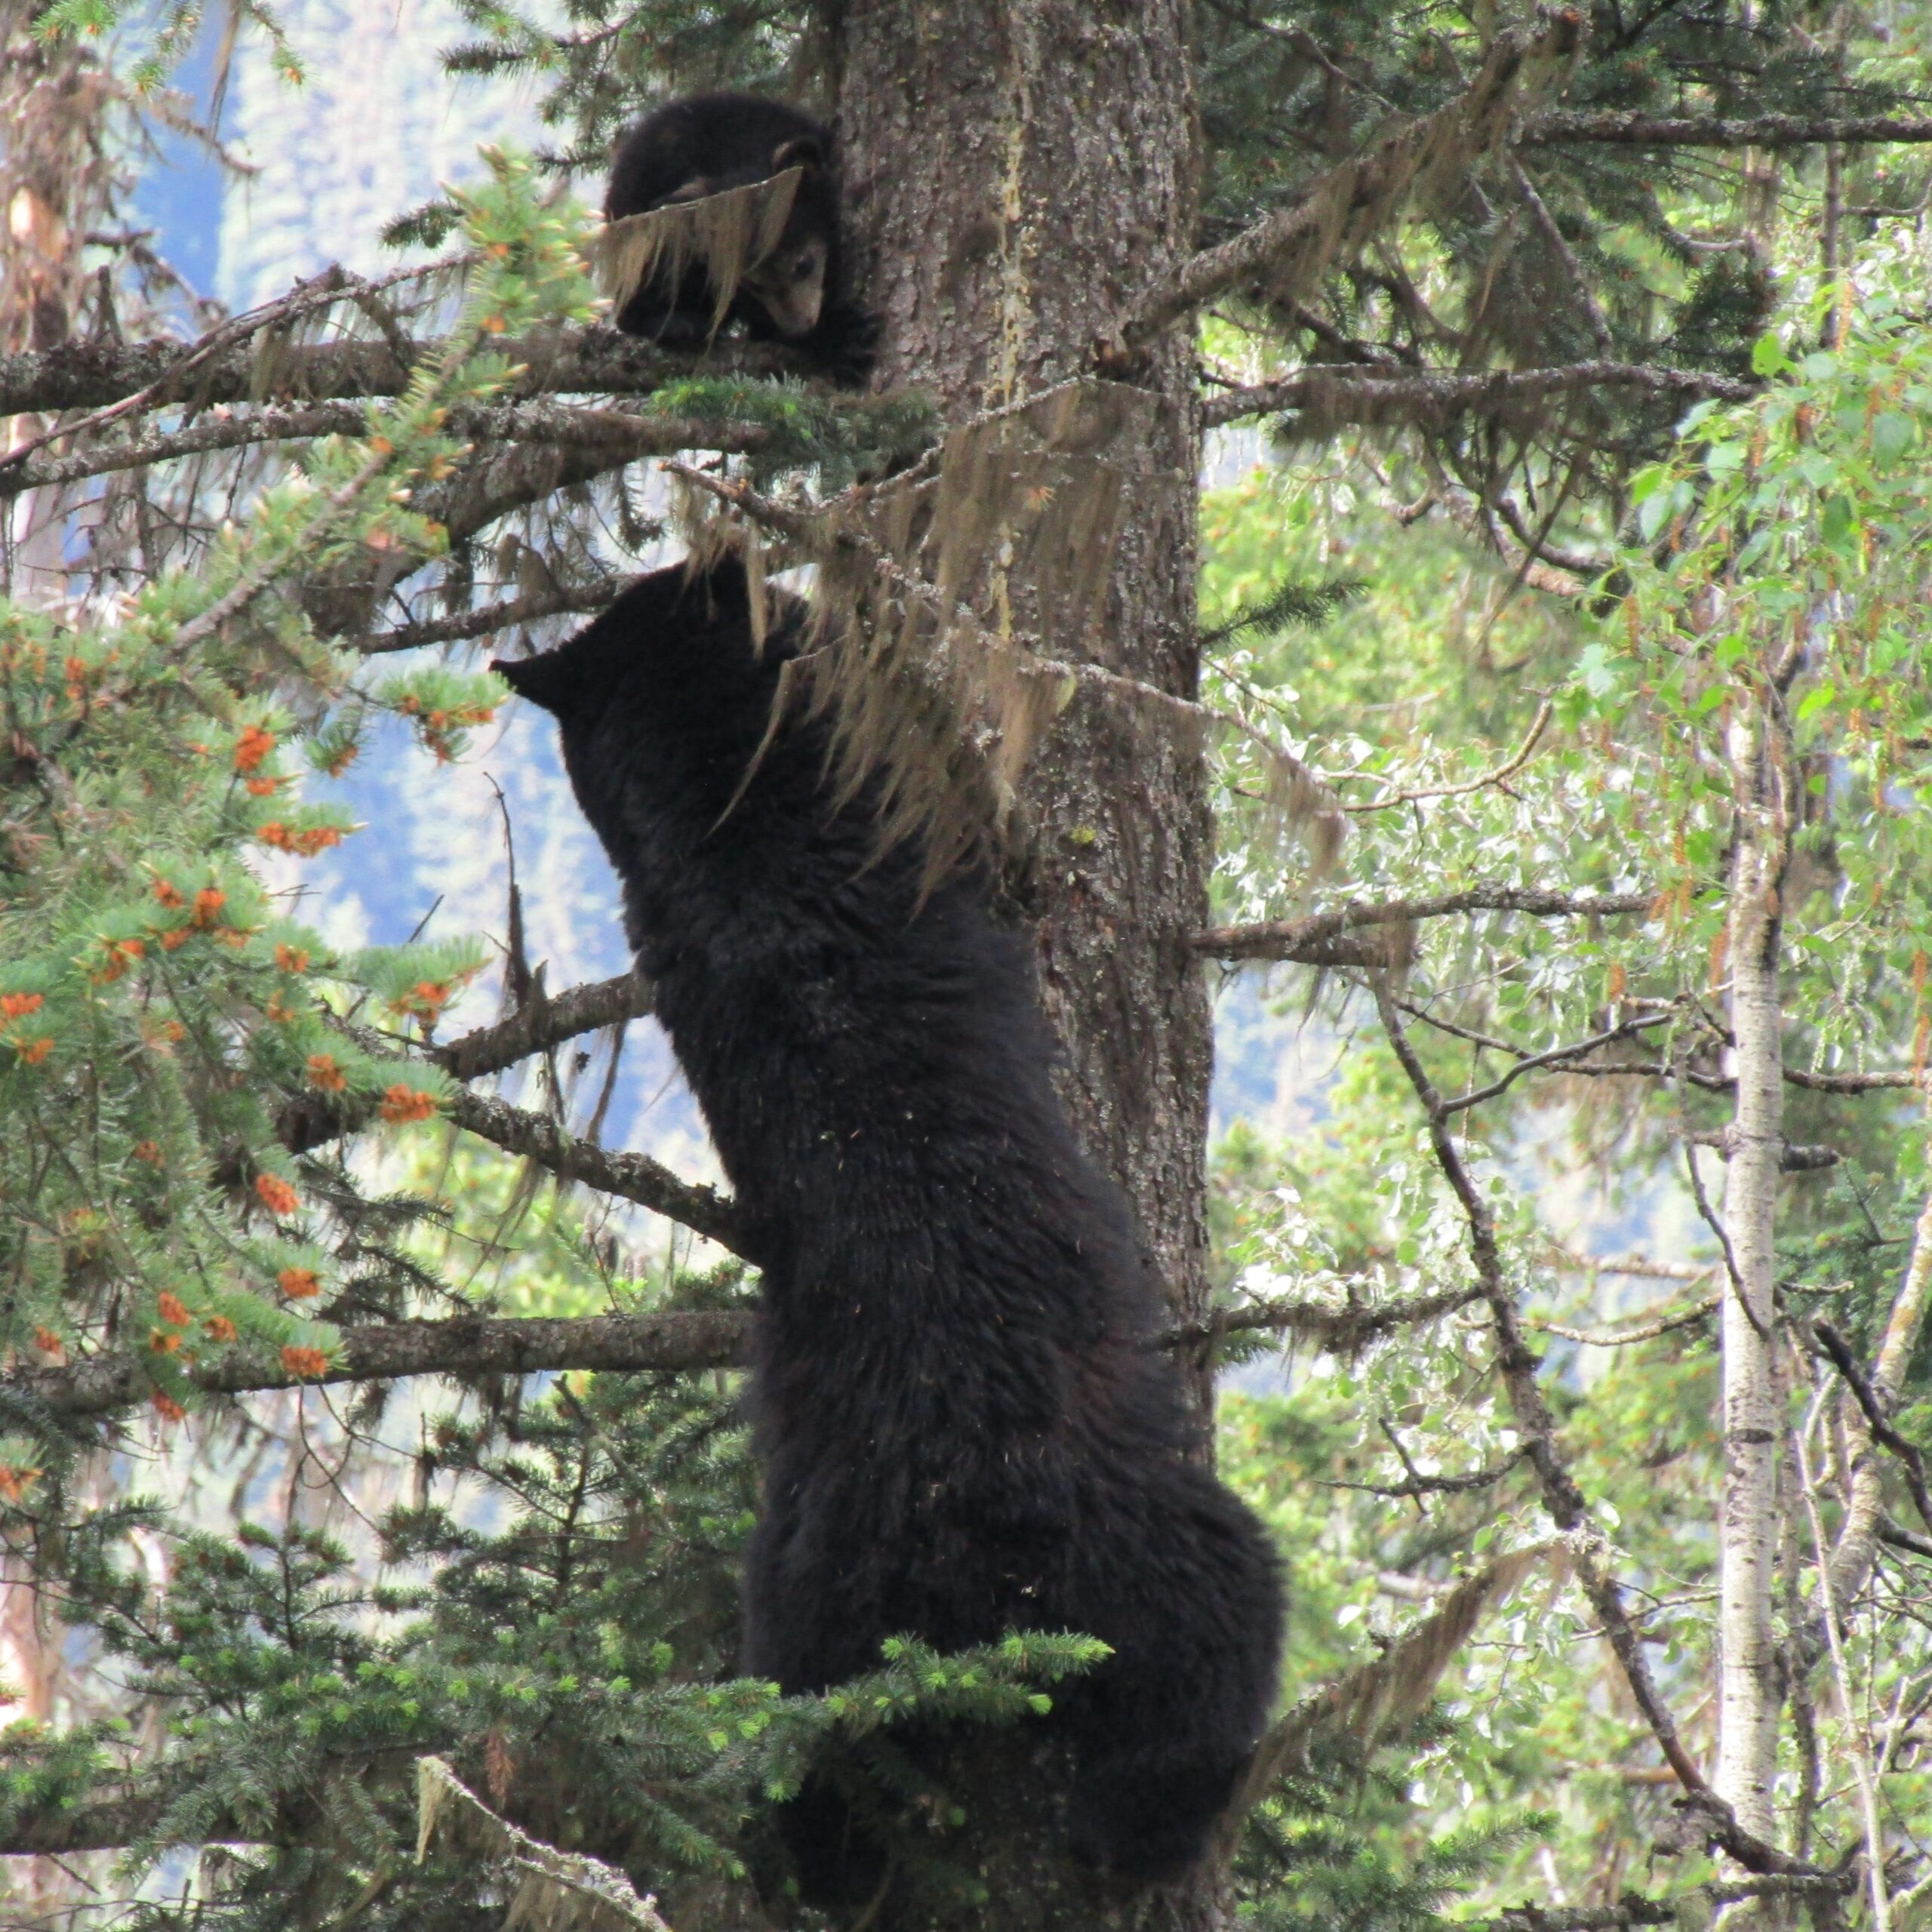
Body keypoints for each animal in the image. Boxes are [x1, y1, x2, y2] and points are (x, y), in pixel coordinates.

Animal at [494, 556, 1282, 1885]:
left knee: (811, 1743)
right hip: (1113, 1514)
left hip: (803, 1599)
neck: (722, 816)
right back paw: (1147, 1816)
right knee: (1214, 1624)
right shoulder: (896, 815)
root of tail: (942, 1539)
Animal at [602, 95, 877, 384]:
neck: (738, 151)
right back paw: (676, 324)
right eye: (752, 284)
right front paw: (840, 337)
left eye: (804, 265)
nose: (800, 328)